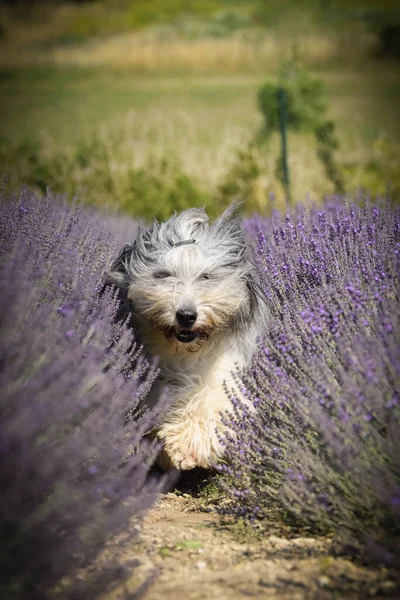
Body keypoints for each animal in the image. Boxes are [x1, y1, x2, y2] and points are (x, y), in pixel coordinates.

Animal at [106, 205, 268, 468]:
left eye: (205, 277)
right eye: (163, 274)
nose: (186, 315)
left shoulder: (222, 367)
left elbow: (210, 396)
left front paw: (189, 444)